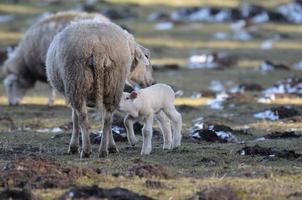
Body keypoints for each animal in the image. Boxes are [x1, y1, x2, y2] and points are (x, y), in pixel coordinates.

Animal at [45, 20, 152, 158]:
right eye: (147, 57)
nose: (150, 82)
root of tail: (98, 49)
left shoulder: (71, 92)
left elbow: (75, 118)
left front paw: (73, 146)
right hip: (113, 84)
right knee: (108, 118)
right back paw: (105, 149)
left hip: (76, 81)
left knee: (83, 117)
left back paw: (86, 150)